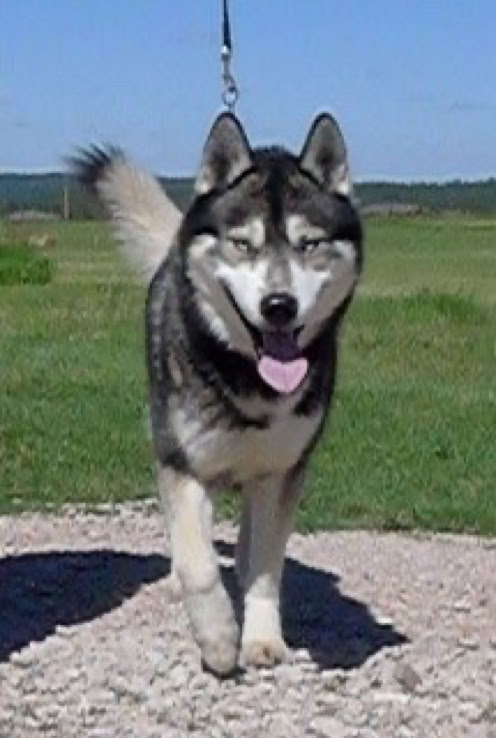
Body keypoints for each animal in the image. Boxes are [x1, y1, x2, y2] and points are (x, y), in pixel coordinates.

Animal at [73, 112, 363, 675]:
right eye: (243, 244)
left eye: (310, 244)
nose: (279, 306)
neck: (249, 381)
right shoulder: (183, 465)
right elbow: (198, 562)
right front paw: (218, 638)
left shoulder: (282, 471)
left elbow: (267, 567)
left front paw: (262, 638)